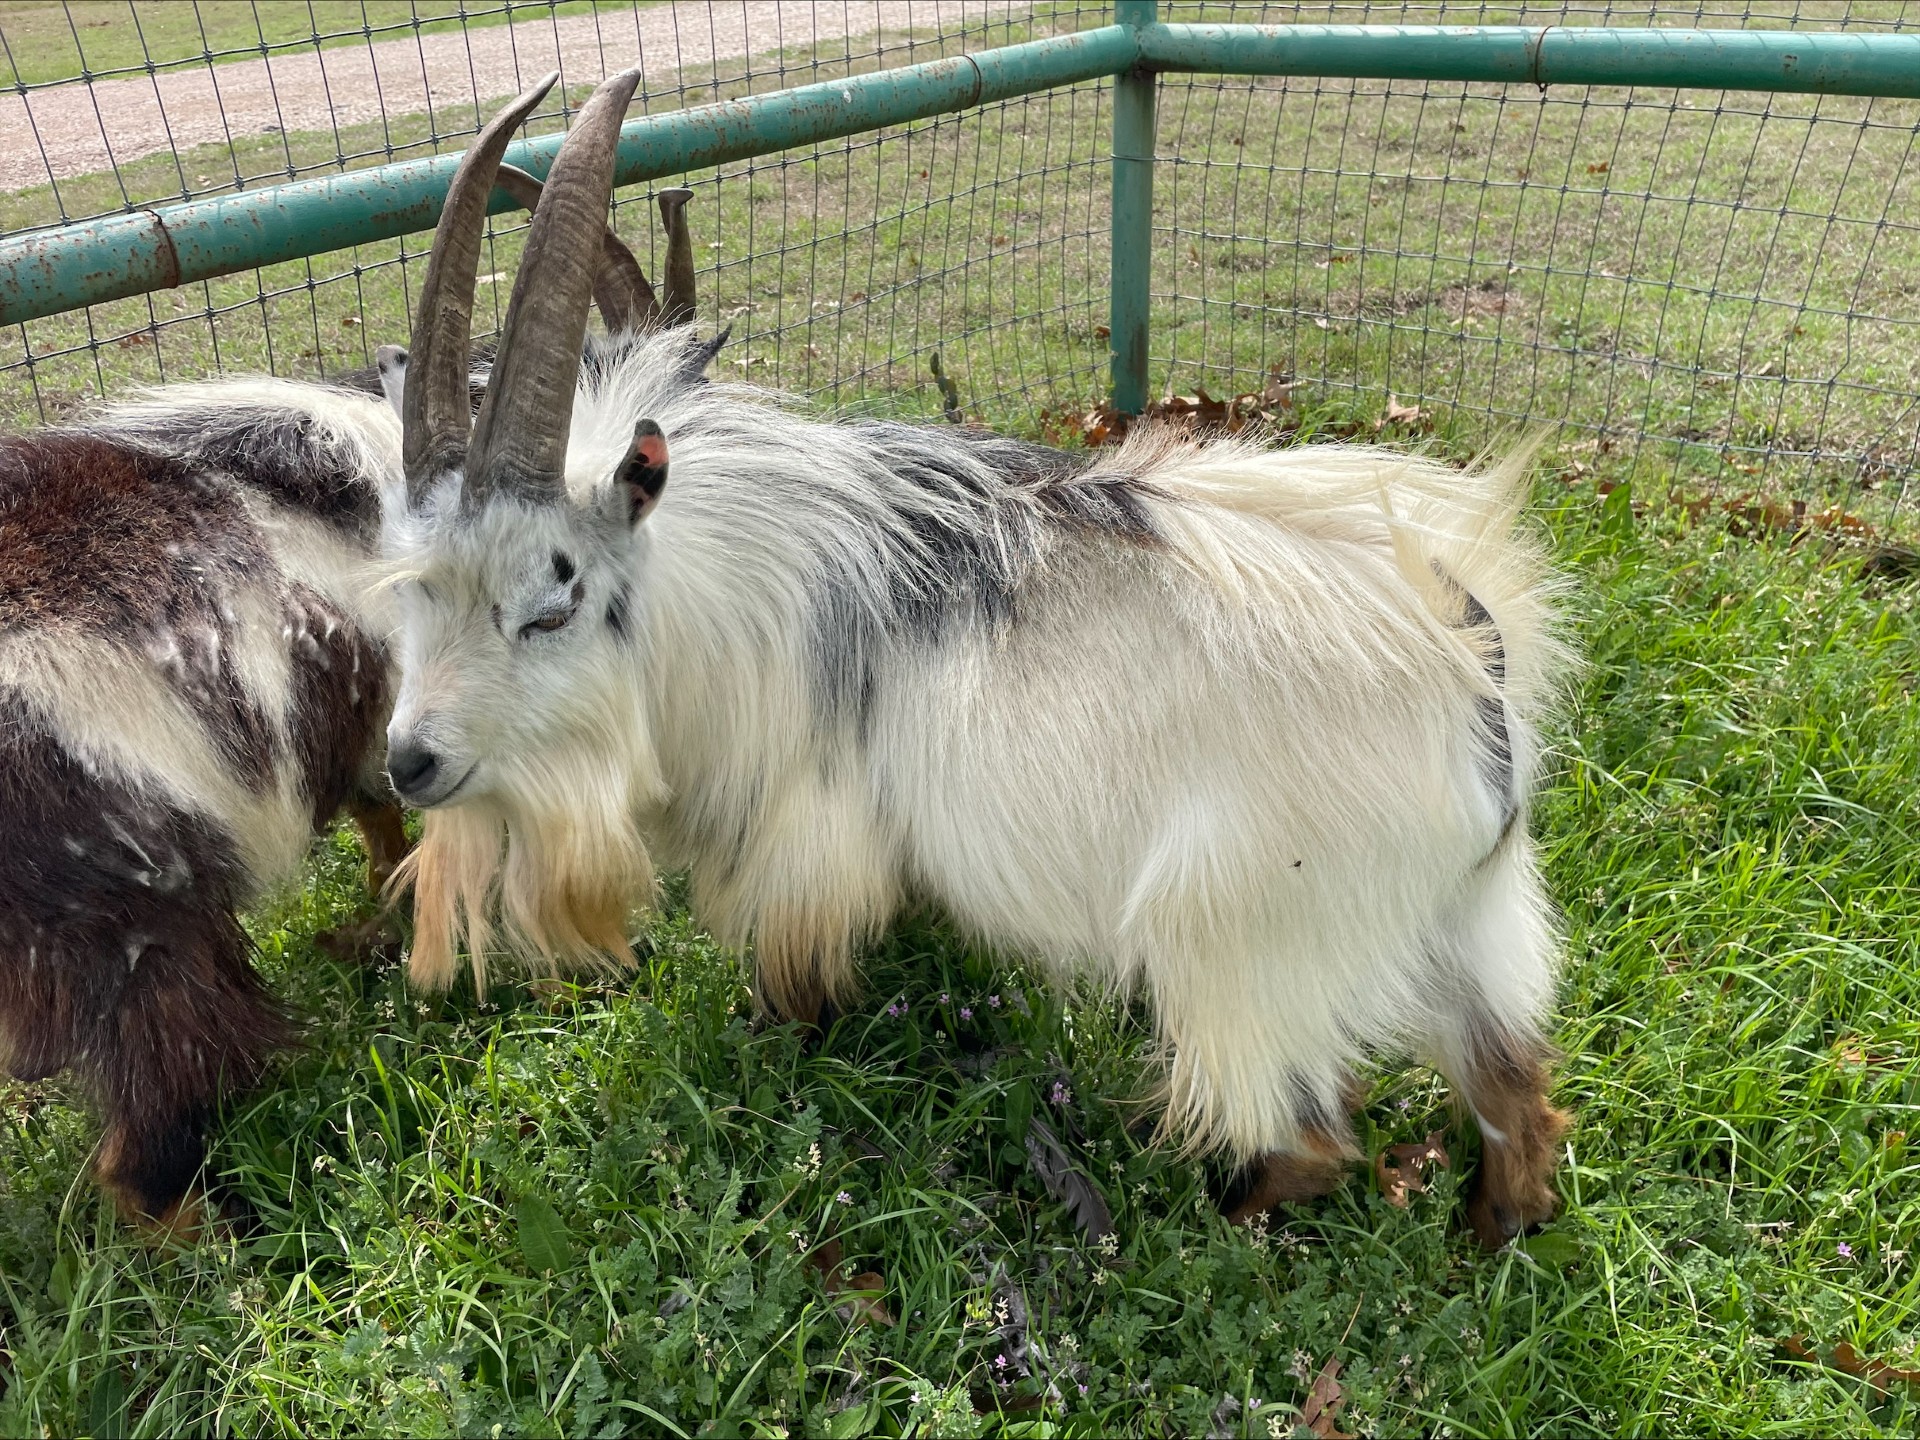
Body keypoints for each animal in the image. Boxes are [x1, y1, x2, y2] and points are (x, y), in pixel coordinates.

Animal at [379, 72, 1575, 1248]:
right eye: (410, 589)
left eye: (554, 601)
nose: (408, 763)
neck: (752, 591)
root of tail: (1482, 691)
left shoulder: (805, 841)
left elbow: (790, 985)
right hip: (1471, 930)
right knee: (1518, 1097)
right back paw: (1492, 1229)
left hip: (1244, 941)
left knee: (1314, 1138)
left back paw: (1198, 1200)